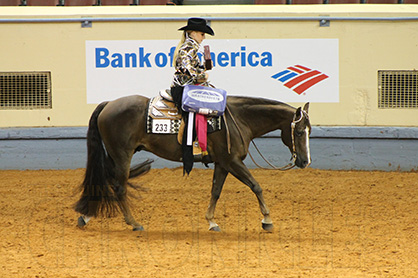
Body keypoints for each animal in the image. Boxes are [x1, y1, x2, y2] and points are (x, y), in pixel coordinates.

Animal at [74, 94, 310, 231]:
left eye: (309, 130)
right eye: (299, 132)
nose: (305, 161)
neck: (238, 119)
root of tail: (108, 104)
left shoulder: (222, 163)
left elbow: (216, 191)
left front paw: (212, 221)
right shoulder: (232, 161)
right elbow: (256, 186)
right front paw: (267, 220)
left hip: (115, 155)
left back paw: (86, 216)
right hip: (122, 154)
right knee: (119, 187)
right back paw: (134, 223)